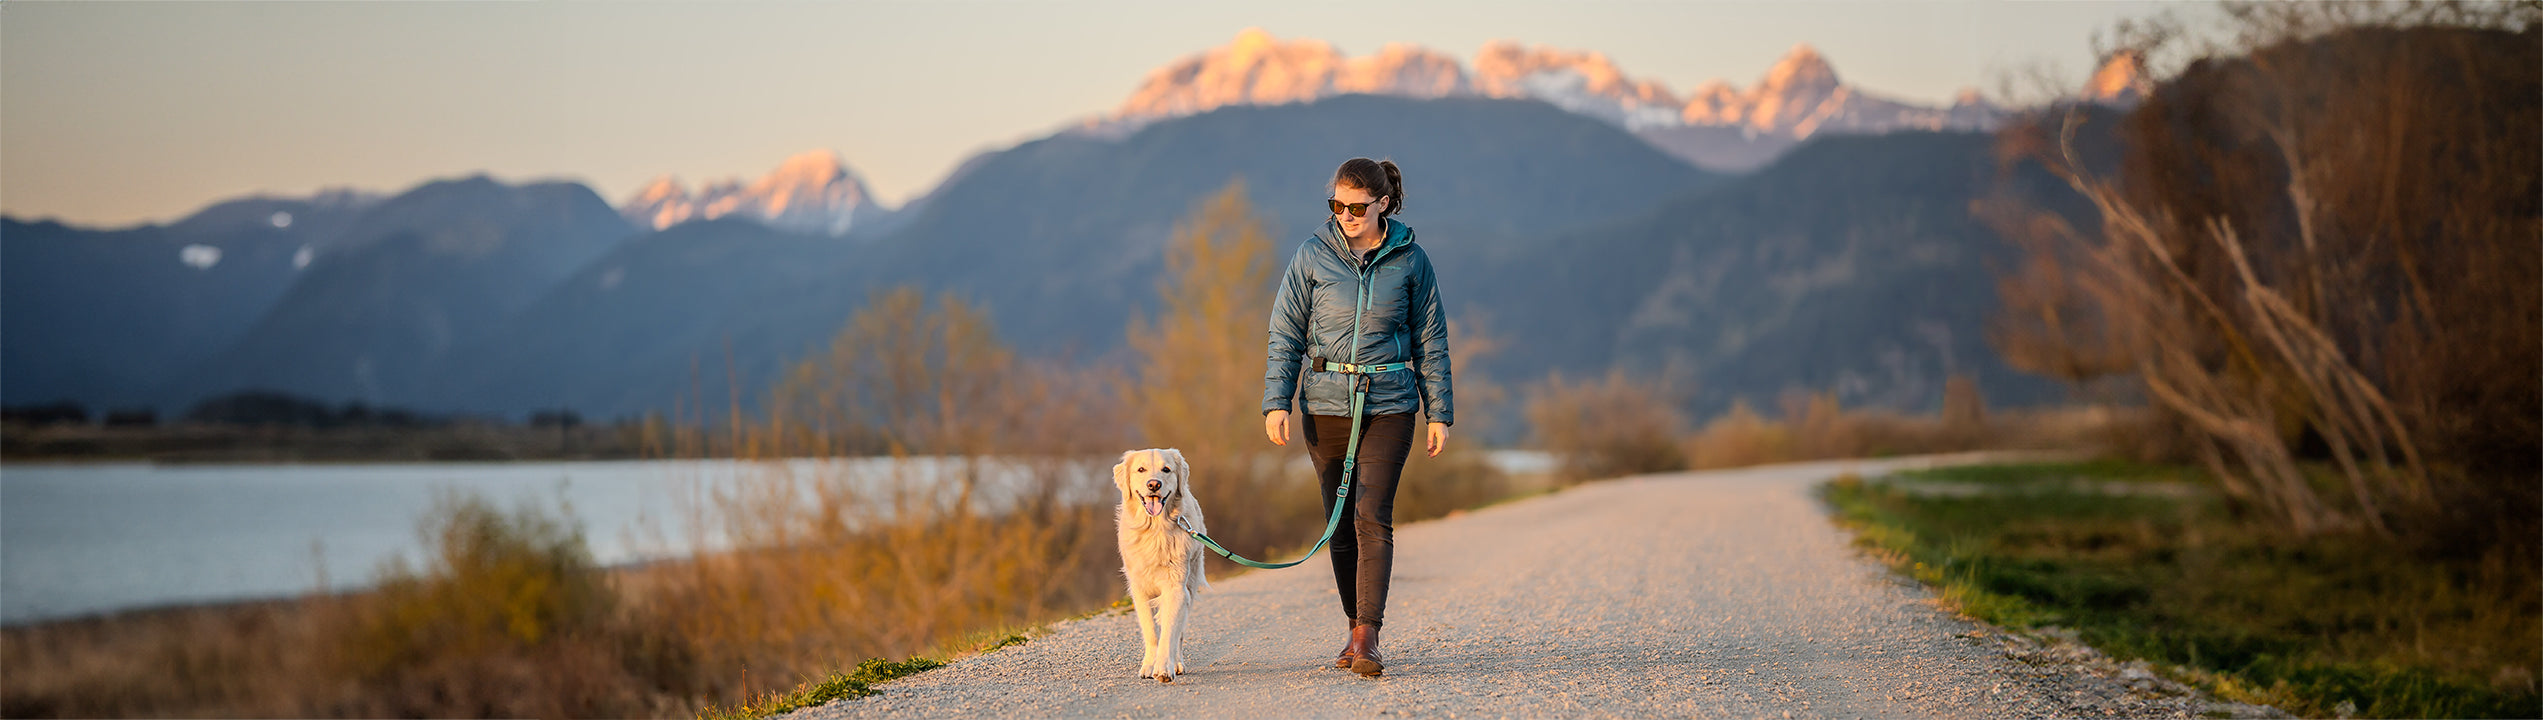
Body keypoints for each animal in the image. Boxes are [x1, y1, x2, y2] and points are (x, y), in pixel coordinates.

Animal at [1108, 447, 1205, 686]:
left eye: (1166, 469)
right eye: (1141, 469)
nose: (1154, 484)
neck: (1155, 530)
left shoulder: (1175, 588)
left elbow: (1169, 633)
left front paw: (1163, 668)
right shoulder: (1139, 590)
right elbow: (1151, 632)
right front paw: (1148, 666)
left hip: (1189, 586)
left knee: (1179, 634)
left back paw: (1176, 663)